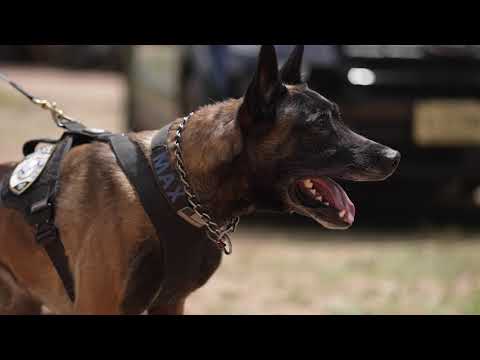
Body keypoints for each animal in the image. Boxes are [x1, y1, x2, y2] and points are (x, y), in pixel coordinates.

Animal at [0, 45, 400, 316]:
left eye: (339, 116)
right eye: (319, 124)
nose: (393, 157)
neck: (173, 187)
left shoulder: (170, 304)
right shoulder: (100, 306)